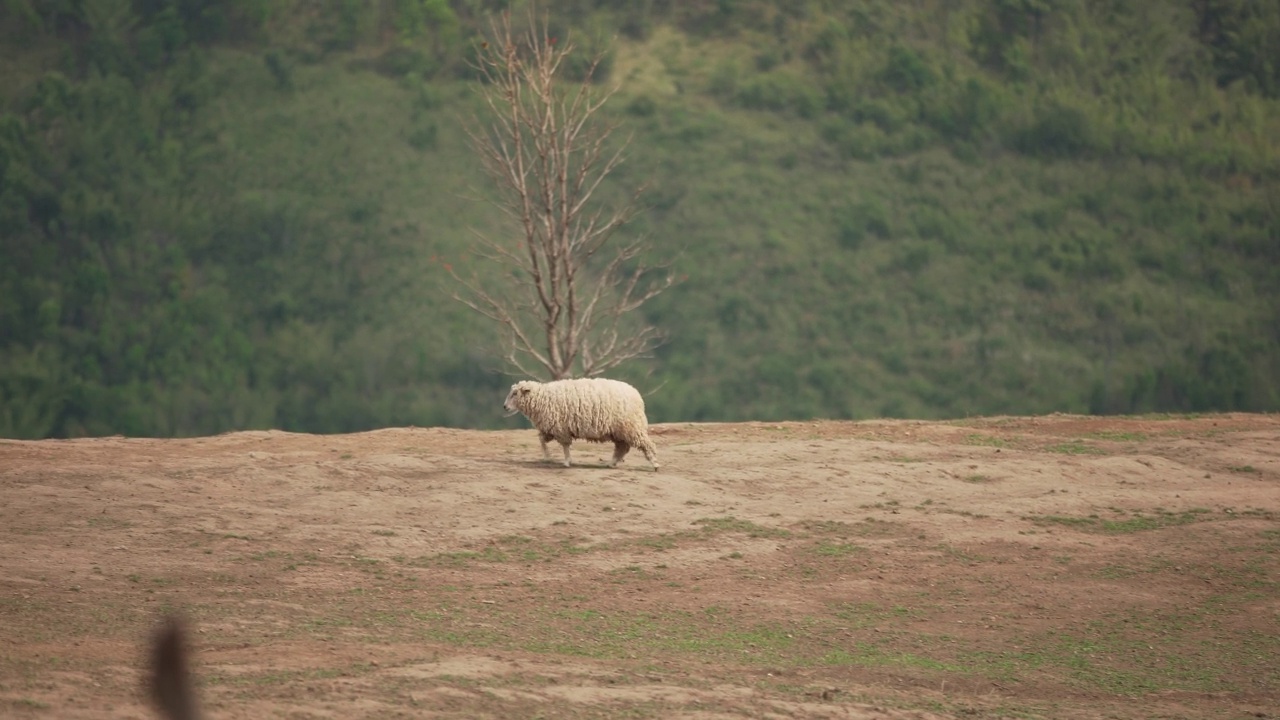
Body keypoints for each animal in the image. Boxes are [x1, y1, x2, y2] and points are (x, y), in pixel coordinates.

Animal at [501, 376, 660, 471]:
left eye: (515, 394)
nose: (504, 407)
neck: (542, 398)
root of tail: (637, 396)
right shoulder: (550, 428)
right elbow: (541, 440)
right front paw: (547, 457)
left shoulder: (560, 428)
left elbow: (565, 446)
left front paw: (566, 461)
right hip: (619, 431)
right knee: (622, 448)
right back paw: (611, 463)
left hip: (631, 427)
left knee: (646, 445)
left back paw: (655, 464)